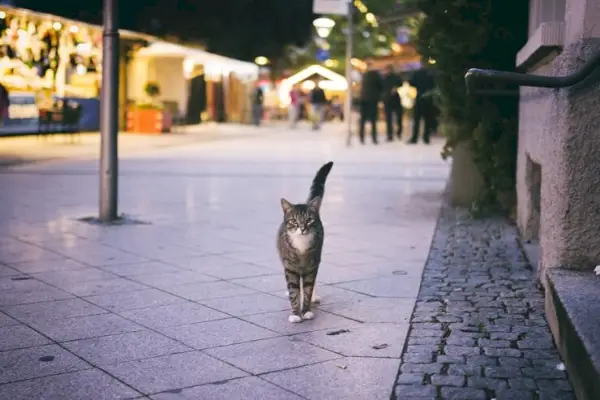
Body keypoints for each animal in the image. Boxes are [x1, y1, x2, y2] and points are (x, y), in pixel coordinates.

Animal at [276, 161, 332, 324]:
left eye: (309, 220)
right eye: (294, 221)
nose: (302, 228)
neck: (301, 243)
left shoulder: (312, 266)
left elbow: (307, 288)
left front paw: (306, 311)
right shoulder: (290, 268)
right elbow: (294, 290)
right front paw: (295, 313)